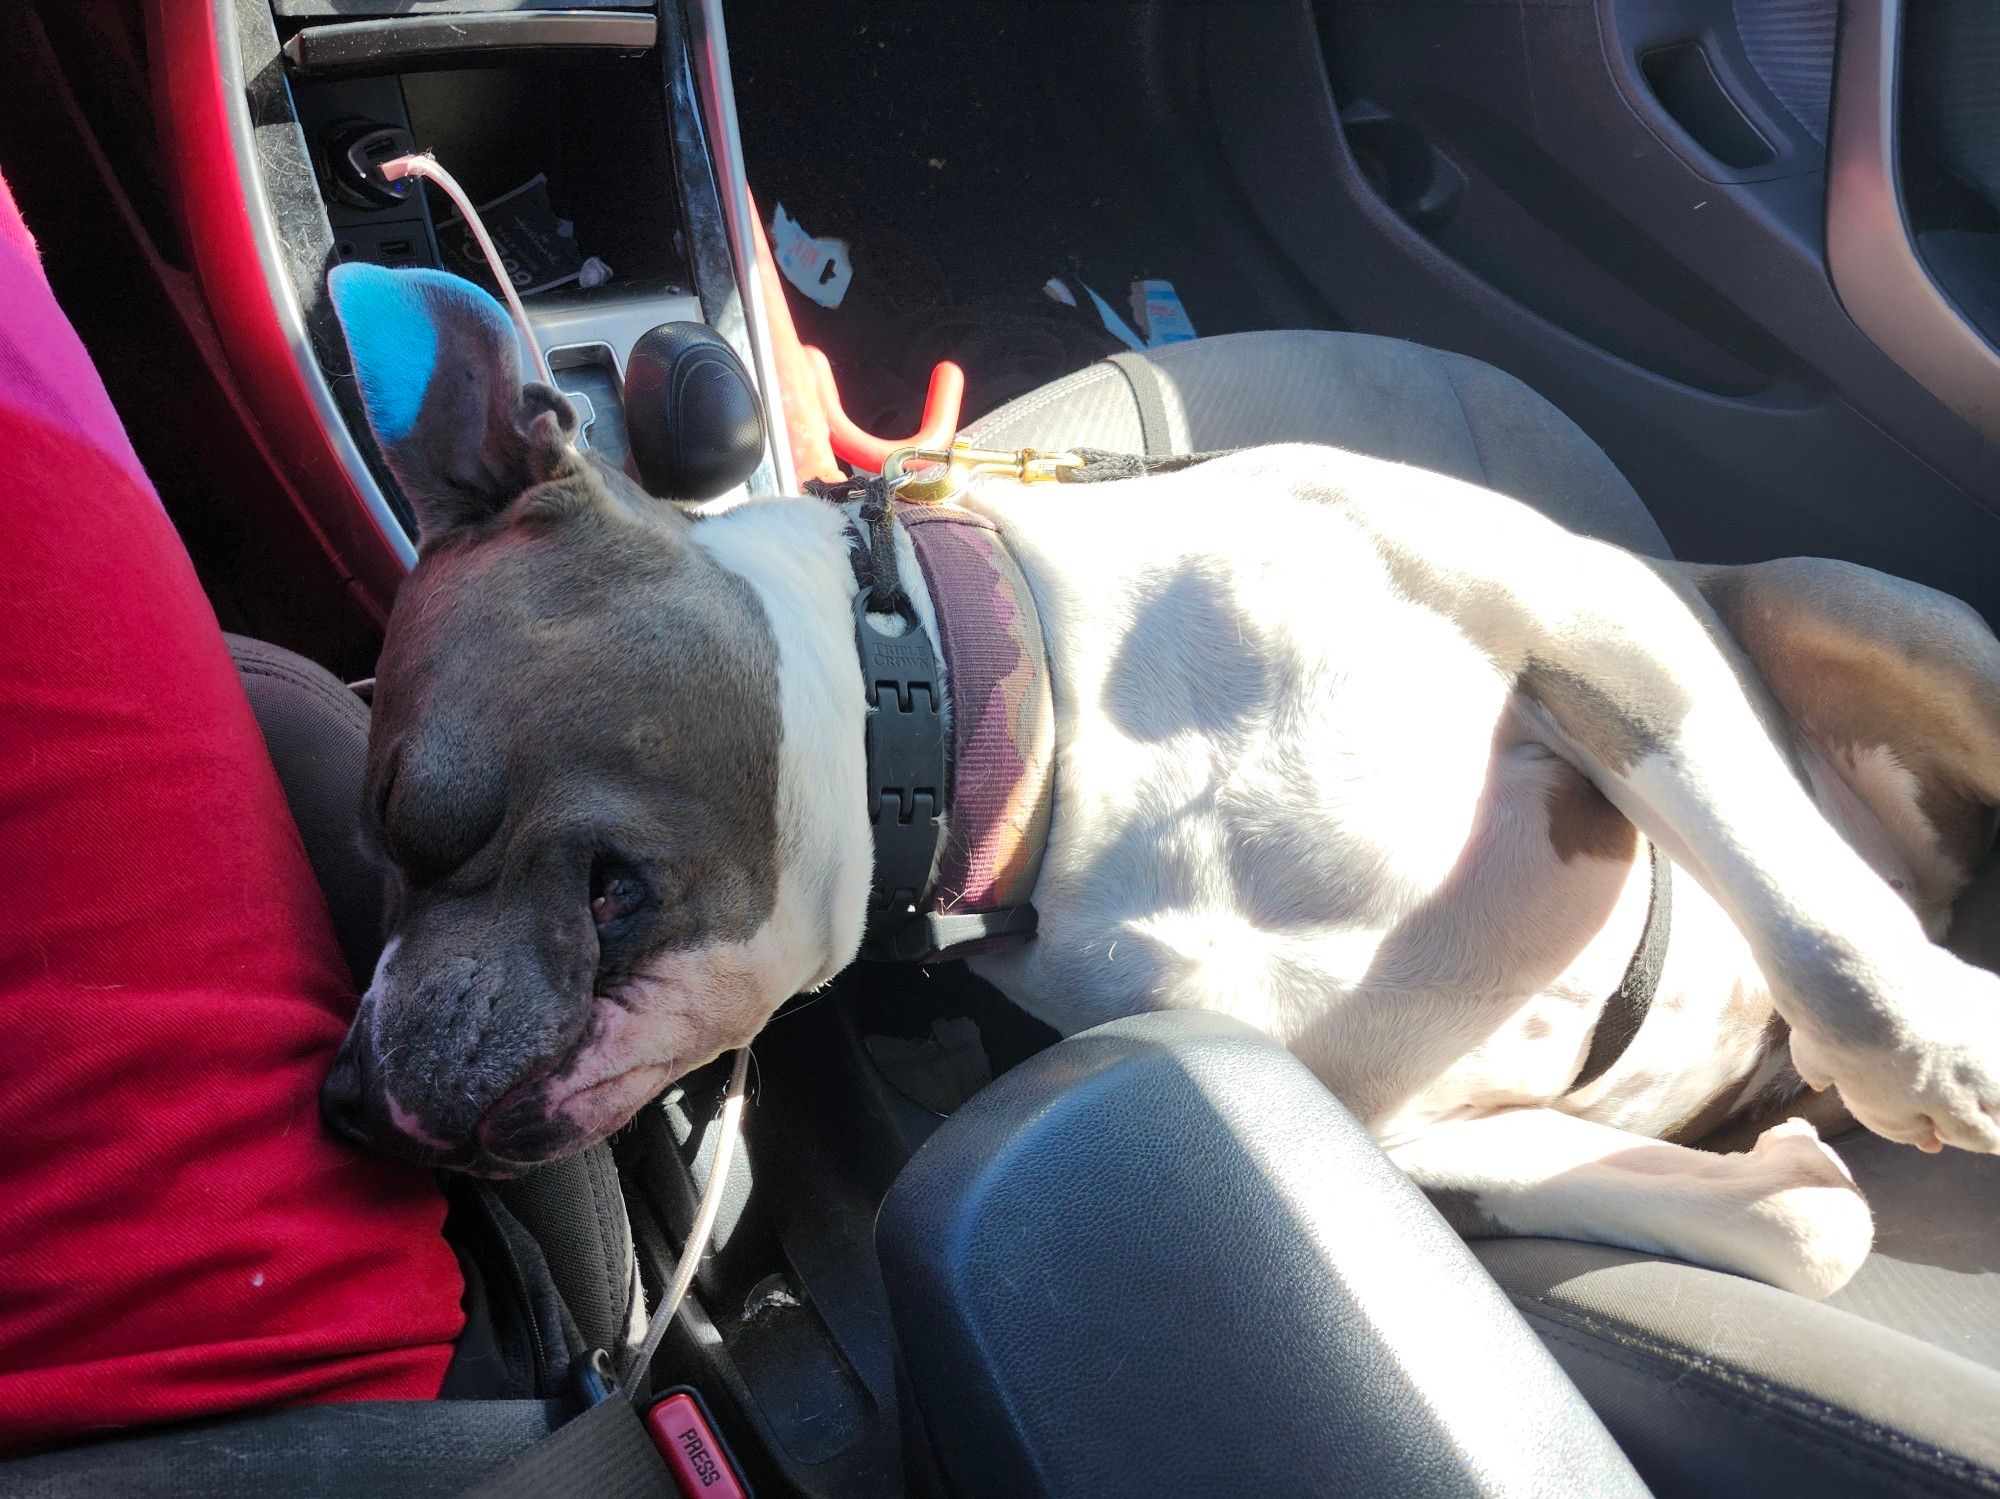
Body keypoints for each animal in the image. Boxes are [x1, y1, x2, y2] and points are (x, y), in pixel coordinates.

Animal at [320, 269, 2000, 1303]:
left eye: (407, 810)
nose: (341, 1096)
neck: (1029, 742)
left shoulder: (1579, 612)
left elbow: (1796, 894)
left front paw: (1924, 1048)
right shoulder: (1390, 1120)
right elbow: (1811, 1218)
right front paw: (1795, 1153)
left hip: (1868, 606)